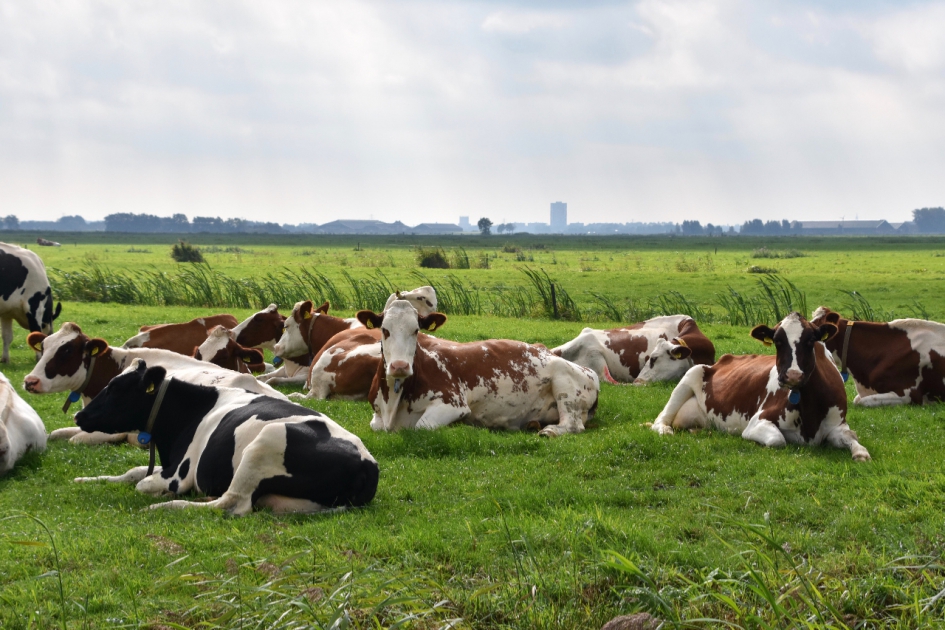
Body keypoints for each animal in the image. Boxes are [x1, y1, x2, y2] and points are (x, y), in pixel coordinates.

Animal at [73, 360, 379, 516]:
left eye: (115, 388)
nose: (79, 416)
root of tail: (368, 463)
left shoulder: (178, 475)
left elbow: (142, 483)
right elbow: (134, 471)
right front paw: (86, 479)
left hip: (265, 442)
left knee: (232, 503)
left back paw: (164, 506)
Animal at [359, 300, 600, 436]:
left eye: (416, 330)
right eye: (385, 330)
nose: (400, 366)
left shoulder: (452, 404)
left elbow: (421, 426)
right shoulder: (377, 416)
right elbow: (375, 426)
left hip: (564, 381)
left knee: (572, 425)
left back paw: (549, 431)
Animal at [649, 312, 870, 461]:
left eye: (810, 341)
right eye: (778, 342)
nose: (792, 375)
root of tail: (723, 359)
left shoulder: (838, 425)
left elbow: (853, 437)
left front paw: (860, 453)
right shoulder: (758, 421)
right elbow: (777, 440)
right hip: (690, 376)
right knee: (660, 419)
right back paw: (664, 429)